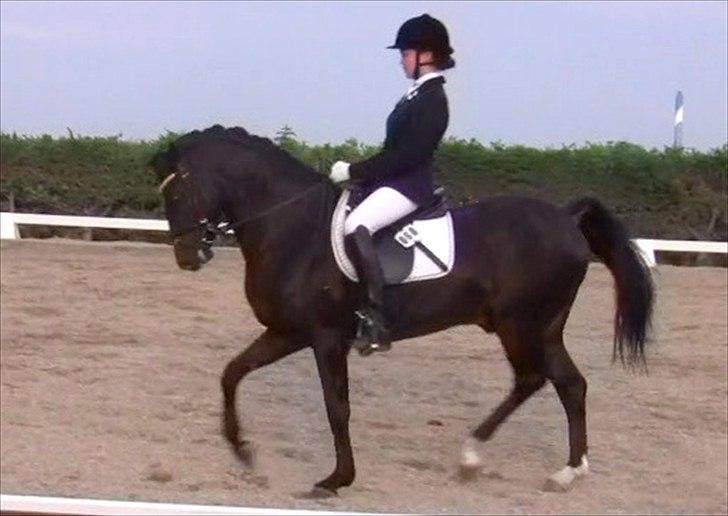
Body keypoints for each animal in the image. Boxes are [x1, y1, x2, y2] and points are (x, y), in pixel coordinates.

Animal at [149, 124, 654, 496]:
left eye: (178, 191)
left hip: (522, 324)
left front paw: (336, 479)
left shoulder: (326, 336)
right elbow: (232, 372)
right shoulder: (287, 332)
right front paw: (242, 451)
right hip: (541, 326)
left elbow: (337, 406)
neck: (293, 229)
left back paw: (481, 456)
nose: (187, 256)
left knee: (538, 380)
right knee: (566, 383)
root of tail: (567, 218)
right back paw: (560, 470)